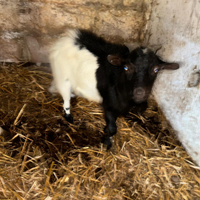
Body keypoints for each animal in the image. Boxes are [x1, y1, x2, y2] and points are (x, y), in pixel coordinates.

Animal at [48, 29, 180, 148]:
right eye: (126, 68)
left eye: (156, 69)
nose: (140, 92)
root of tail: (68, 38)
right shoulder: (108, 104)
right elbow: (112, 128)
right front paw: (107, 143)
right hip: (62, 78)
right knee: (65, 99)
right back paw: (69, 116)